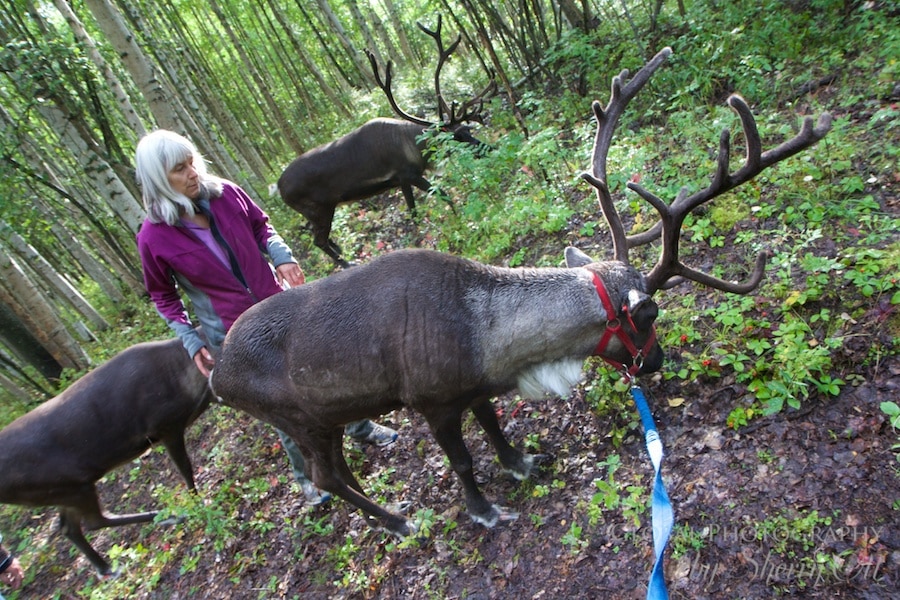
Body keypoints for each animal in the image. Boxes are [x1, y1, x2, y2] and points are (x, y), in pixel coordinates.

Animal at [0, 334, 213, 576]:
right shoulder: (166, 424)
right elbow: (185, 467)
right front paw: (197, 501)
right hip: (70, 485)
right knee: (94, 521)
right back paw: (167, 517)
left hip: (60, 492)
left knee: (68, 527)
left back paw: (105, 567)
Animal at [210, 47, 831, 538]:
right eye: (648, 318)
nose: (656, 362)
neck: (488, 337)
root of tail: (216, 379)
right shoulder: (431, 401)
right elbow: (462, 461)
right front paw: (485, 510)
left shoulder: (474, 387)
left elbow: (493, 426)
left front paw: (522, 461)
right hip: (302, 420)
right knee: (325, 475)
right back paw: (398, 520)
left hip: (328, 418)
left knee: (335, 473)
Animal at [278, 16, 495, 268]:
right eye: (456, 136)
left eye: (467, 129)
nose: (489, 148)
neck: (414, 145)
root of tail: (279, 188)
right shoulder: (406, 174)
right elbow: (435, 200)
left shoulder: (400, 180)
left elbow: (418, 207)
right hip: (320, 210)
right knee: (319, 241)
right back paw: (347, 264)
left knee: (325, 240)